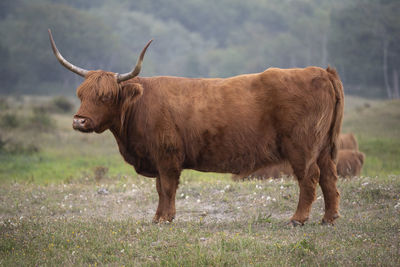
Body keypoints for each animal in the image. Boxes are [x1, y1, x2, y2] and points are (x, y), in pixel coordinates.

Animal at [49, 29, 344, 226]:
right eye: (80, 93)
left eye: (106, 96)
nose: (79, 120)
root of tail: (321, 71)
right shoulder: (158, 157)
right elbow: (160, 188)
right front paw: (158, 217)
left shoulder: (167, 156)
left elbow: (167, 187)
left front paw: (165, 219)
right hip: (323, 149)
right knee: (329, 177)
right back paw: (329, 219)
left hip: (302, 147)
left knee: (309, 178)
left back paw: (298, 219)